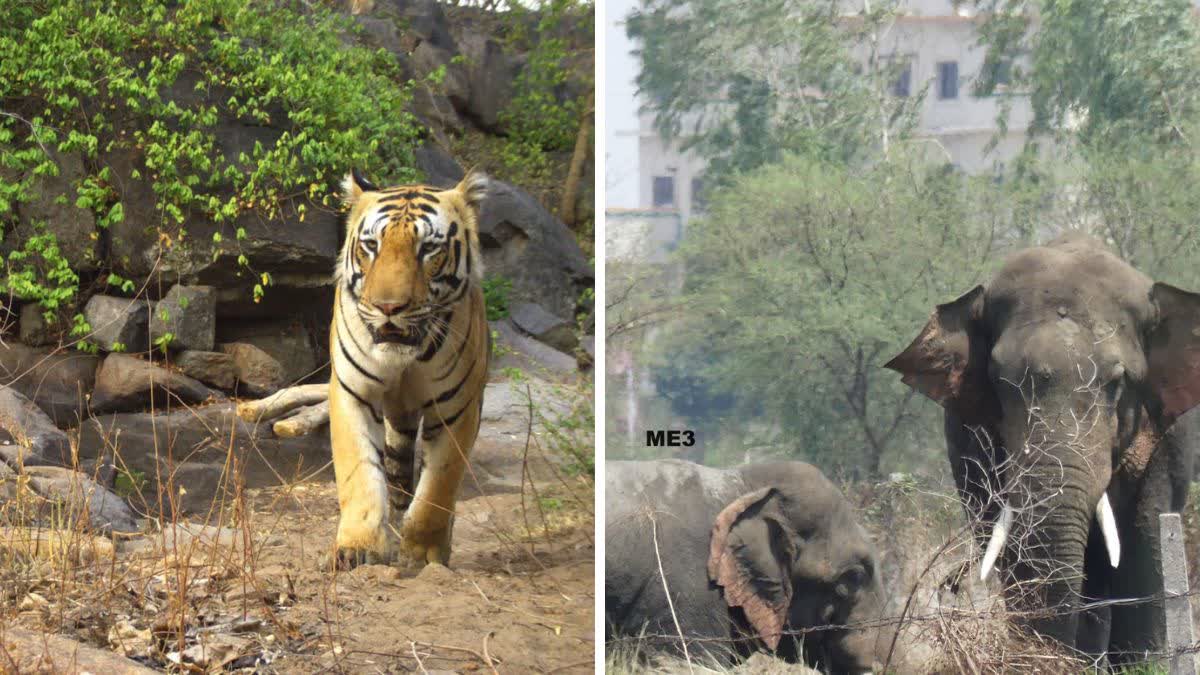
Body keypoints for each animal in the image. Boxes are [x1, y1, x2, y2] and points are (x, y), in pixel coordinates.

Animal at [328, 168, 487, 566]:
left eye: (428, 248)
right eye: (371, 245)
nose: (388, 307)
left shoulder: (457, 408)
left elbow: (439, 486)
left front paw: (424, 553)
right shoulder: (352, 392)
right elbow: (359, 472)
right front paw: (358, 546)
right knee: (397, 474)